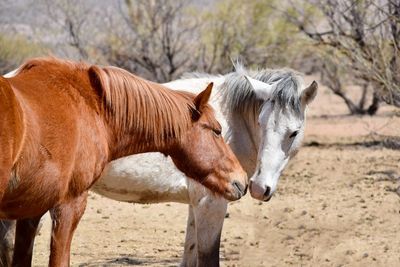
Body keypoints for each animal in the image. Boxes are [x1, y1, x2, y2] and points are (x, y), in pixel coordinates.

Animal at [0, 63, 318, 266]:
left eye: (294, 132)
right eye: (262, 123)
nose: (259, 187)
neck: (232, 119)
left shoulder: (197, 205)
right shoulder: (212, 204)